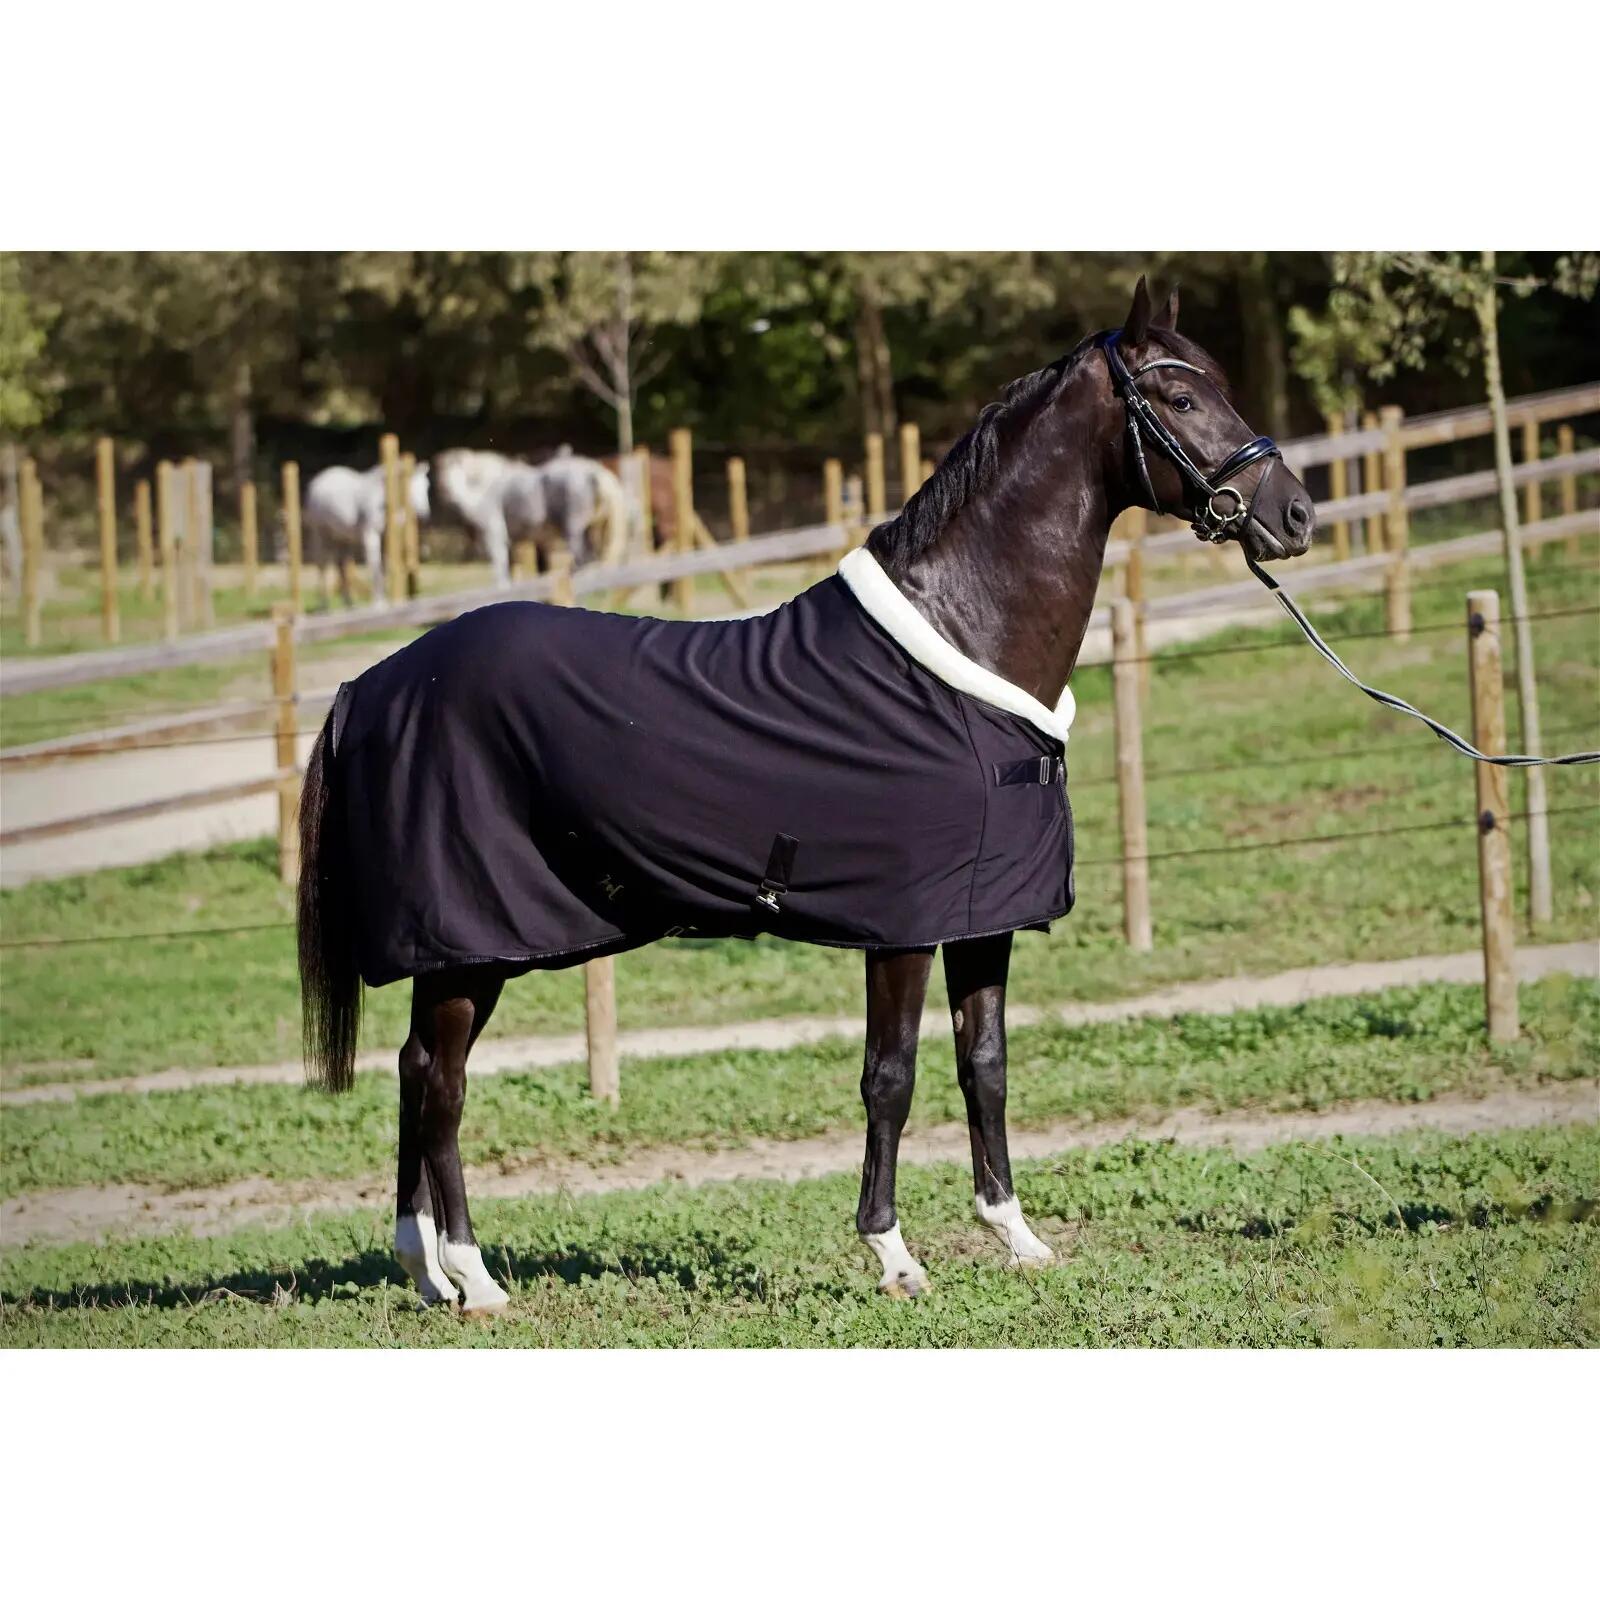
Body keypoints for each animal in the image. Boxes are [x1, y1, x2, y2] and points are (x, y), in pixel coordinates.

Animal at [302, 461, 430, 606]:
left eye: (427, 486)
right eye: (409, 485)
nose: (425, 515)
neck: (383, 499)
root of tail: (316, 483)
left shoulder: (386, 537)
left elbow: (383, 567)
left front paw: (384, 597)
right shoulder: (370, 534)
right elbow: (374, 565)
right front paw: (378, 602)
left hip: (342, 538)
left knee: (341, 565)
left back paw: (349, 603)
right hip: (320, 533)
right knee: (322, 564)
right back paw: (325, 604)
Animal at [431, 448, 632, 587]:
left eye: (455, 469)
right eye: (438, 471)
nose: (445, 492)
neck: (483, 490)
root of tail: (594, 472)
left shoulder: (494, 534)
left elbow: (499, 565)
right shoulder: (513, 541)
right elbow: (511, 567)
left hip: (574, 530)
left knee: (582, 559)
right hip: (593, 530)